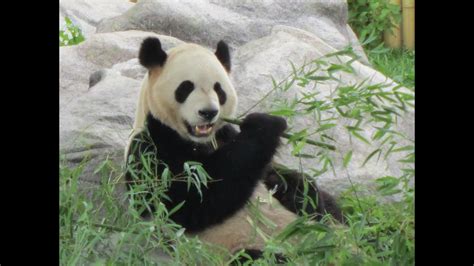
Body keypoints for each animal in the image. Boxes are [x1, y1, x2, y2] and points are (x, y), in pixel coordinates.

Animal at [124, 36, 342, 260]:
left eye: (218, 89)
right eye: (186, 88)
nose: (208, 112)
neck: (199, 141)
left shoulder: (224, 134)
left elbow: (276, 176)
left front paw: (299, 191)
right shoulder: (153, 150)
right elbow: (194, 201)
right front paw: (265, 125)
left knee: (334, 209)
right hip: (244, 250)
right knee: (261, 257)